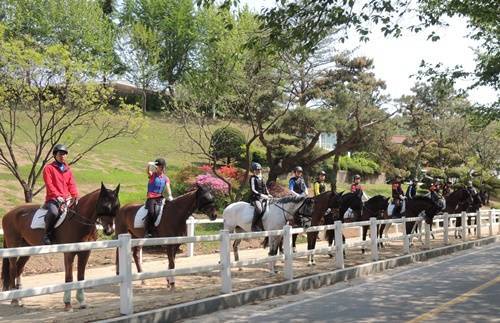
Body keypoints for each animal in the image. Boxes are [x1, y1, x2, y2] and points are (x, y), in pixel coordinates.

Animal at [0, 182, 120, 312]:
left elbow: (81, 276)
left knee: (19, 268)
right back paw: (14, 300)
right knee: (13, 269)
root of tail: (9, 213)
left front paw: (82, 302)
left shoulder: (85, 252)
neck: (78, 220)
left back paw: (20, 299)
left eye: (117, 206)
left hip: (26, 249)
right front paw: (68, 304)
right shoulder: (69, 253)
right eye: (105, 206)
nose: (109, 230)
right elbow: (69, 278)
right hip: (14, 248)